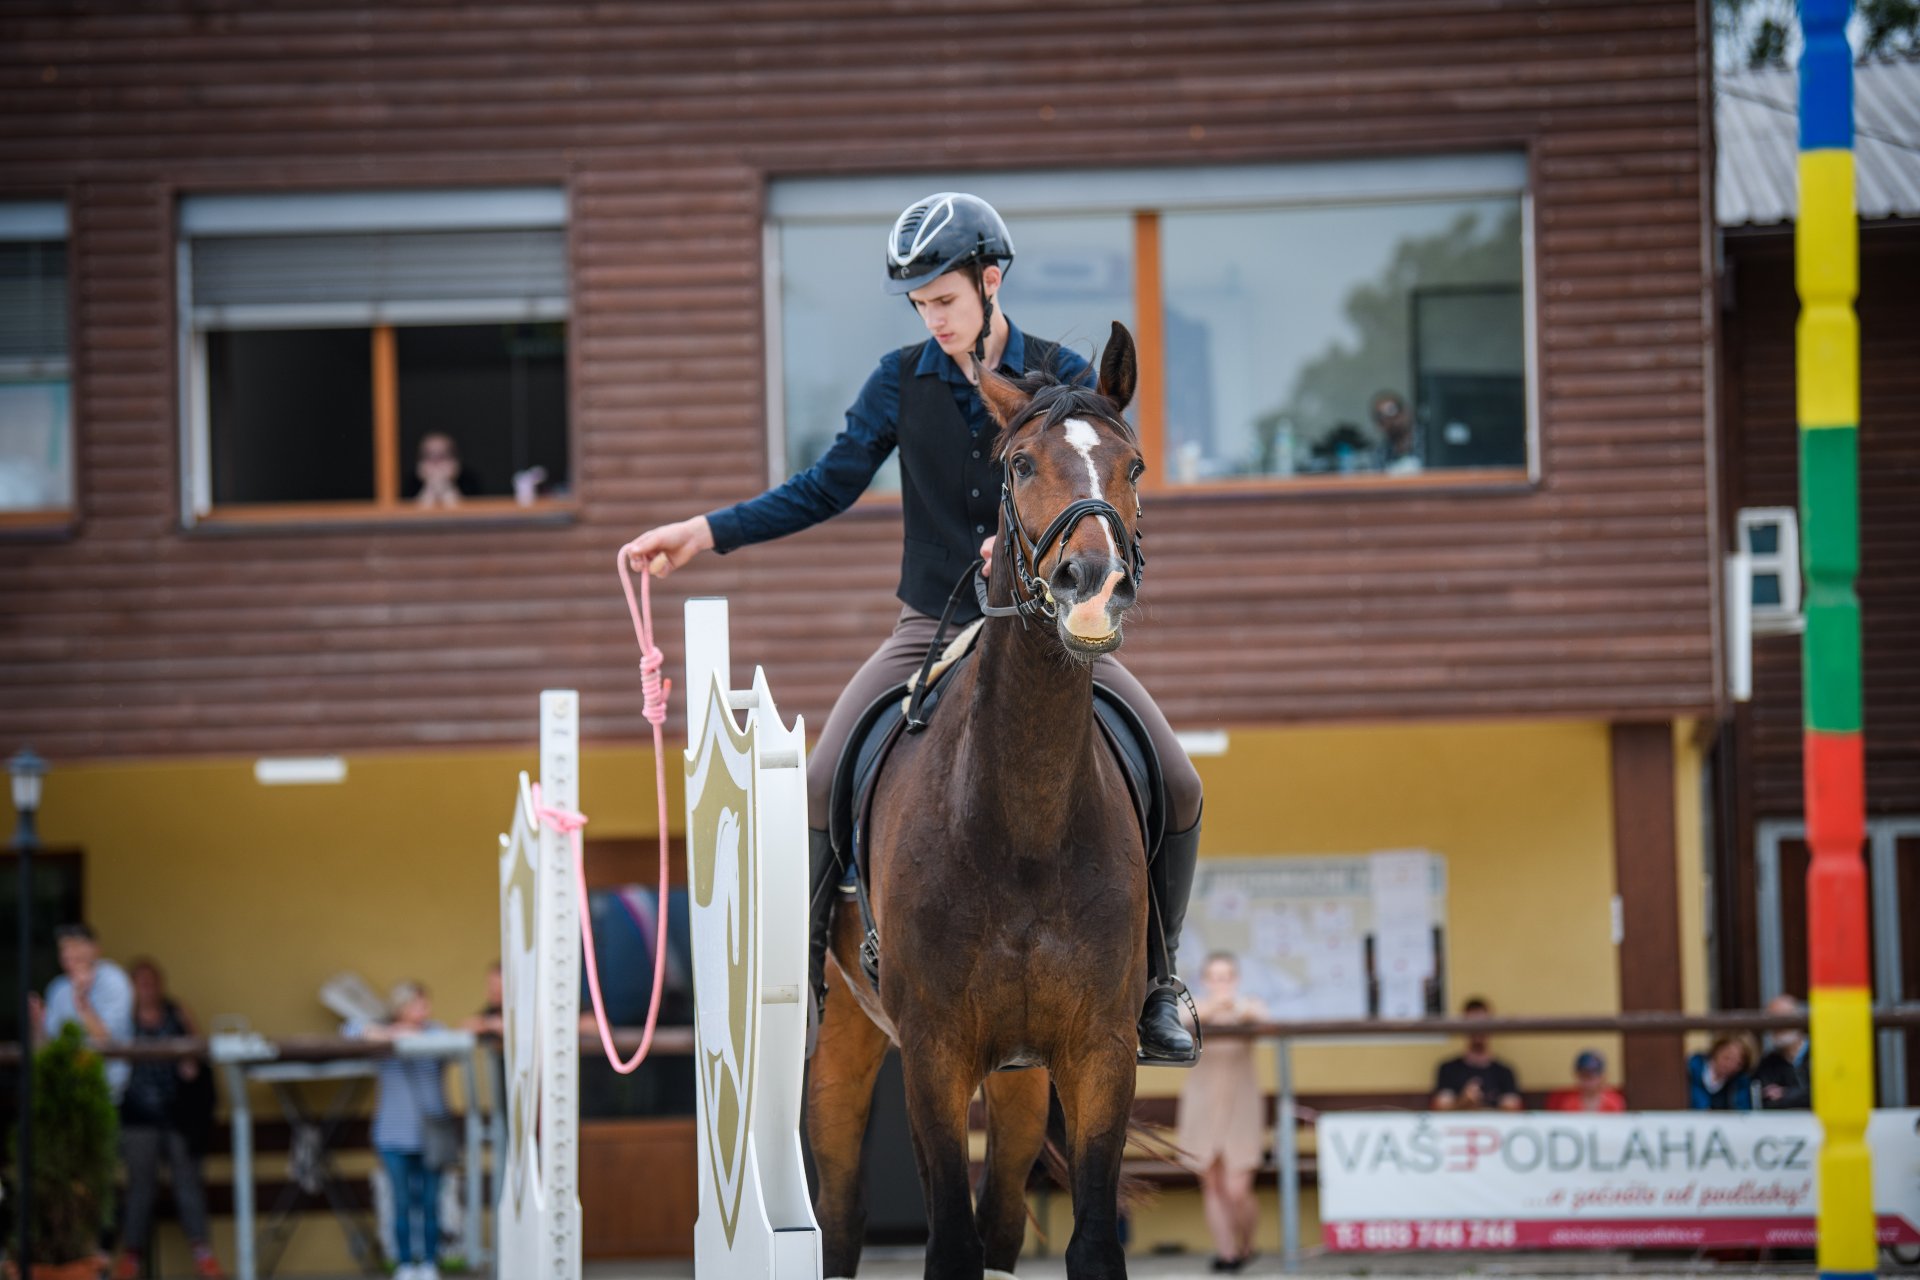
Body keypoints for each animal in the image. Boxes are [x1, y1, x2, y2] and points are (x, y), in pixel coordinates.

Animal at [802, 320, 1144, 1280]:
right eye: (1020, 465)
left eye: (1133, 465)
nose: (1092, 586)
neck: (1020, 820)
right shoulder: (934, 1055)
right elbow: (947, 1246)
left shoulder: (1099, 1050)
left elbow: (1087, 1244)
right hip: (843, 1043)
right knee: (839, 1214)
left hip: (1020, 1078)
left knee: (1000, 1221)